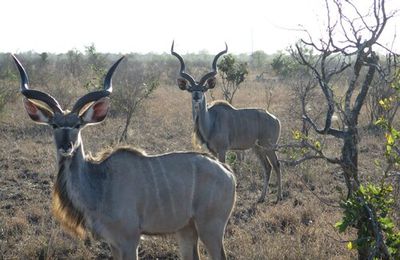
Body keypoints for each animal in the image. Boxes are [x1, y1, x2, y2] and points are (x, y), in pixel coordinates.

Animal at [14, 53, 236, 258]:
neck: (100, 183)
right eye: (54, 125)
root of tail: (228, 173)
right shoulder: (113, 242)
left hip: (210, 227)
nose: (66, 146)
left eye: (78, 125)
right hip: (186, 229)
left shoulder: (130, 239)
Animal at [171, 42, 282, 203]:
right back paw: (261, 198)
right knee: (268, 167)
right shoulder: (212, 151)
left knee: (277, 165)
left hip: (268, 147)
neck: (211, 121)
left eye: (203, 88)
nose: (197, 97)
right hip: (258, 148)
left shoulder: (222, 149)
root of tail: (275, 119)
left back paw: (279, 196)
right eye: (191, 89)